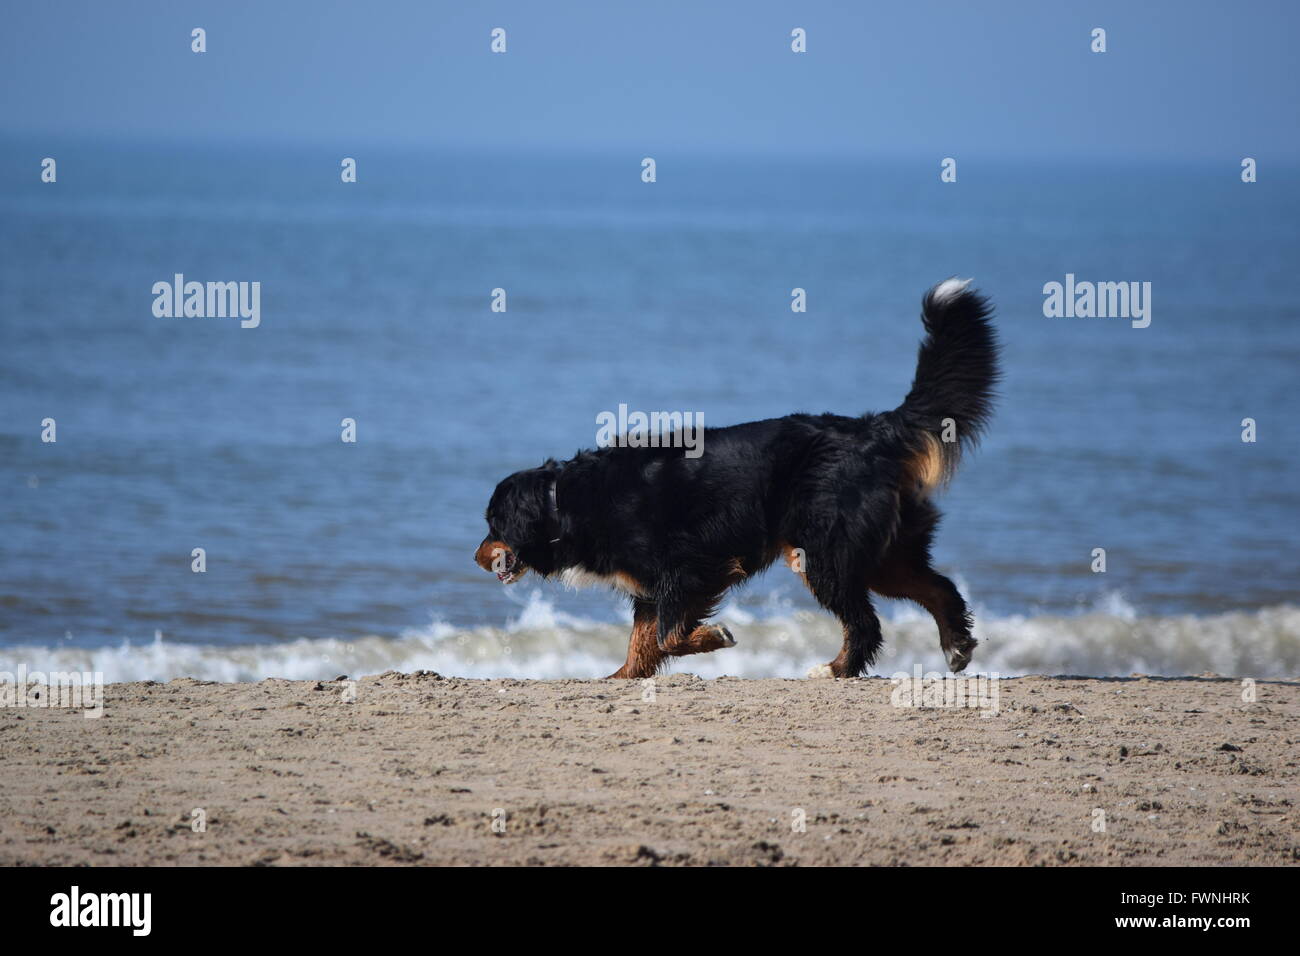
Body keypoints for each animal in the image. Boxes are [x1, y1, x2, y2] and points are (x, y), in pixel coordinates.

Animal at [475, 277, 993, 681]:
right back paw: (956, 647)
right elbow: (645, 641)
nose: (477, 559)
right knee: (939, 588)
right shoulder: (652, 585)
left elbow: (669, 635)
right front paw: (621, 677)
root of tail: (873, 428)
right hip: (882, 553)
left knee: (866, 623)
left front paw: (715, 637)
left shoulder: (689, 568)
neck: (565, 500)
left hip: (824, 554)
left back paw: (834, 669)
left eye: (493, 523)